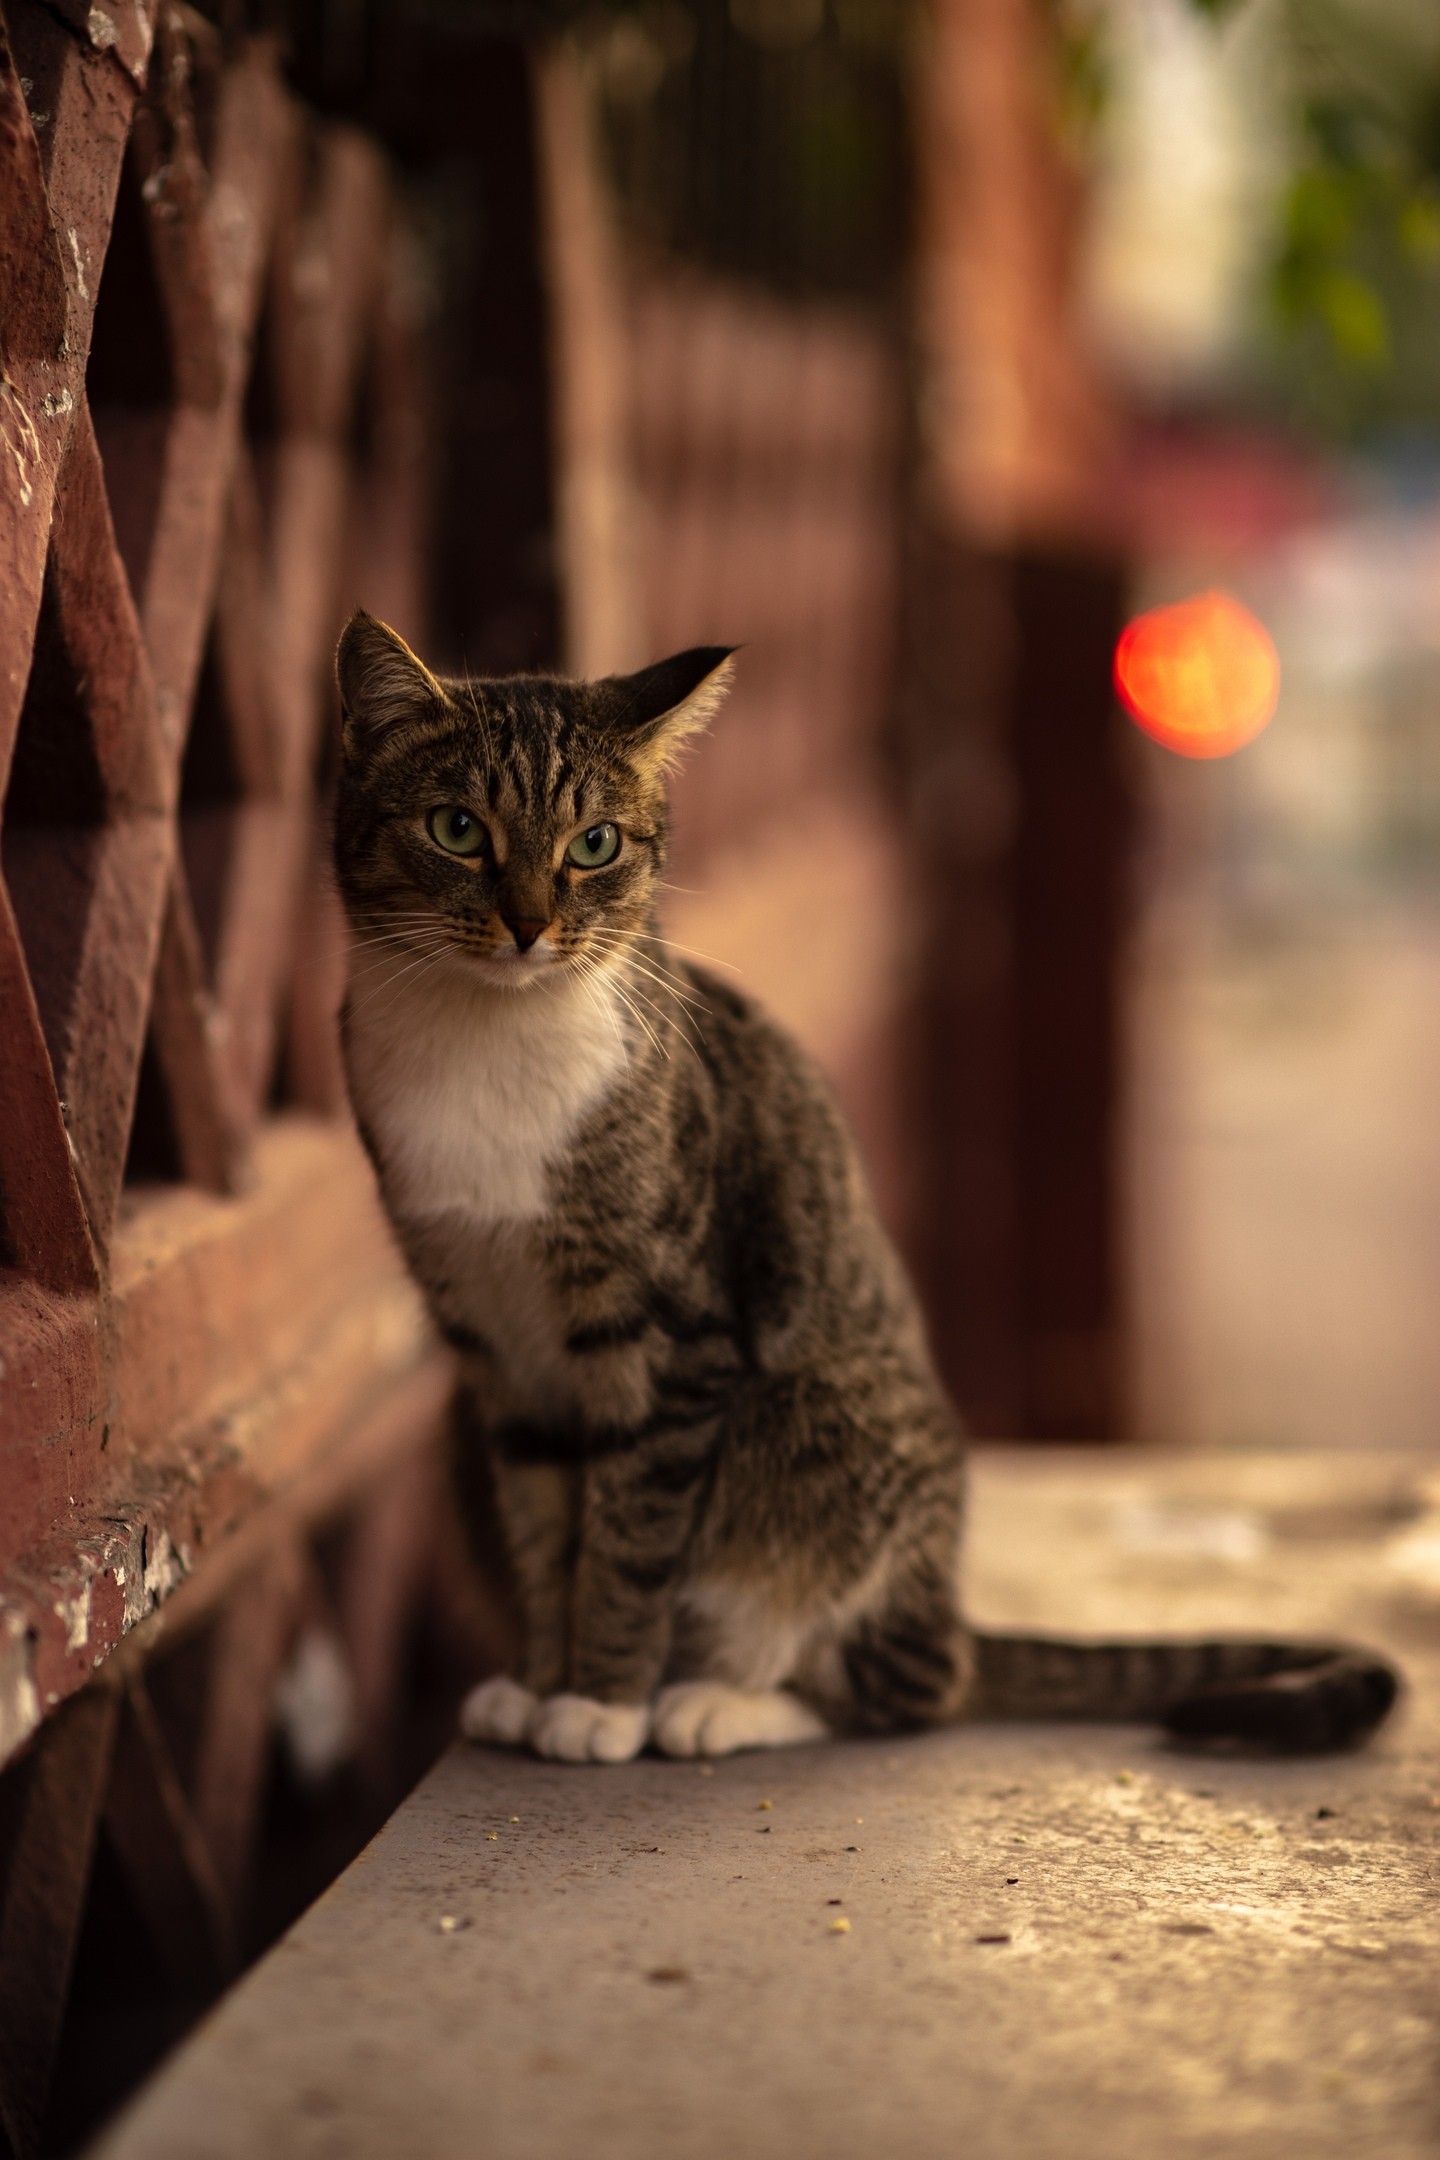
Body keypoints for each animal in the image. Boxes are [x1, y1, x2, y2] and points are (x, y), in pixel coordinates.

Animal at [334, 617, 1398, 1762]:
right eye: (456, 828)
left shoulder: (676, 1335)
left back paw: (716, 1703)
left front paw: (601, 1702)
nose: (530, 926)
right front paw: (538, 1681)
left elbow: (628, 1539)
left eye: (596, 846)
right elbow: (543, 1535)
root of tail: (953, 1614)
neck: (489, 1034)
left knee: (901, 1686)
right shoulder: (494, 1354)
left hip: (817, 1420)